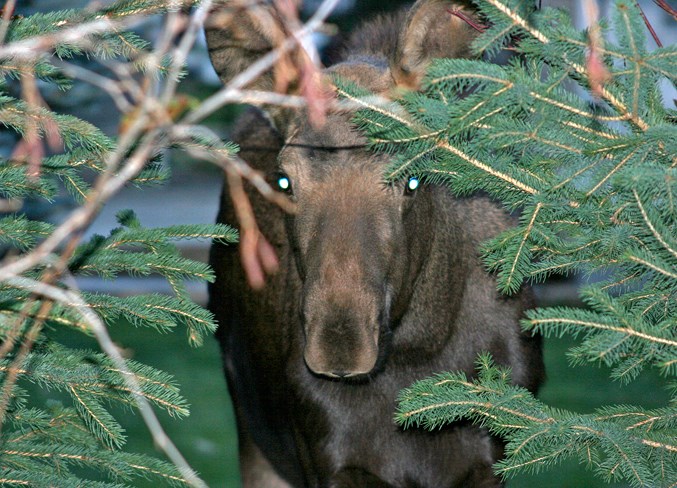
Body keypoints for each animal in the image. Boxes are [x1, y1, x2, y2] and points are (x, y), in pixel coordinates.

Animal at [206, 1, 544, 486]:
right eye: (284, 180)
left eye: (413, 177)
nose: (340, 343)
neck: (416, 357)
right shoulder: (328, 461)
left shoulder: (493, 458)